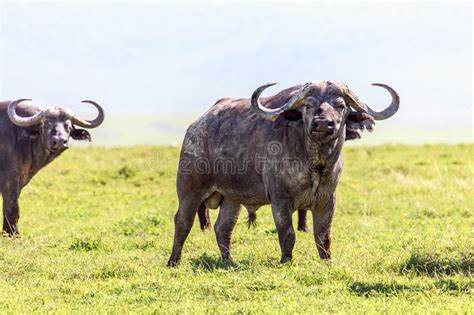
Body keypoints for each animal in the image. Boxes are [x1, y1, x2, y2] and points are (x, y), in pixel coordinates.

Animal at [0, 100, 104, 236]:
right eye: (47, 125)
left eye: (68, 127)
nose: (60, 141)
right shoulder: (9, 179)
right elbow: (12, 207)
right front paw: (13, 235)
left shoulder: (19, 182)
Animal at [168, 80, 398, 266]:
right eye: (308, 105)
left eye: (341, 106)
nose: (323, 123)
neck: (315, 163)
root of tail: (197, 125)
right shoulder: (280, 199)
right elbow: (287, 234)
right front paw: (286, 260)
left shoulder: (328, 199)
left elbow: (323, 236)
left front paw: (327, 261)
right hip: (190, 189)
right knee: (183, 221)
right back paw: (173, 261)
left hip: (231, 199)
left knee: (223, 228)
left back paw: (230, 261)